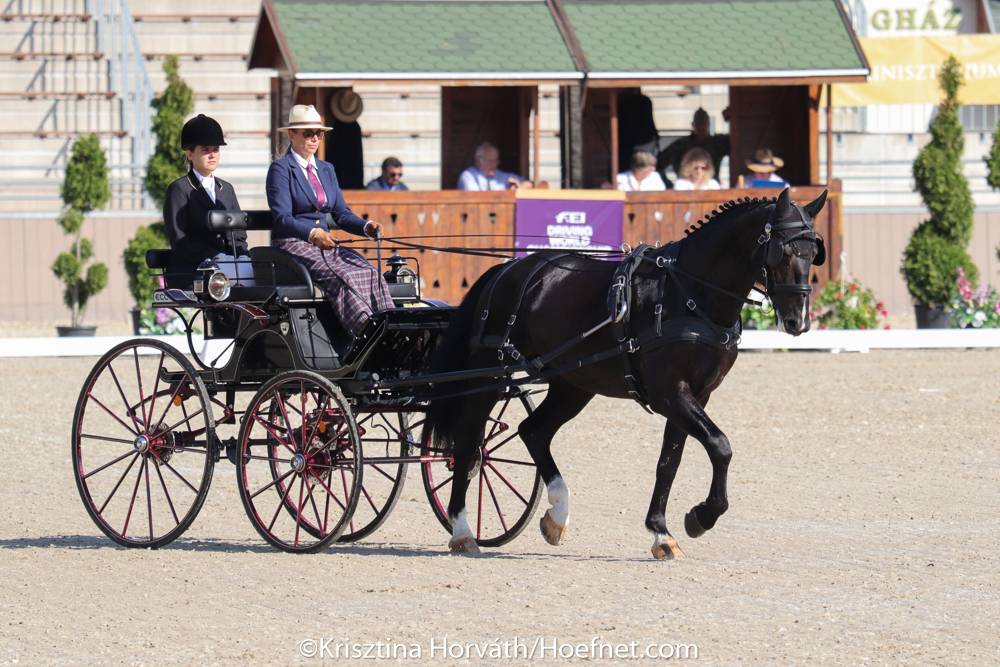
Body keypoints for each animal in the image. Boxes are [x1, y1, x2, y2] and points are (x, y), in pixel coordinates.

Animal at [426, 188, 824, 560]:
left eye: (813, 251)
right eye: (782, 251)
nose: (797, 321)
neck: (689, 294)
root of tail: (506, 270)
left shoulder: (694, 395)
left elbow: (669, 462)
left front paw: (662, 533)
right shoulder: (670, 394)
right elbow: (720, 446)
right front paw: (702, 516)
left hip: (573, 385)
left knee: (533, 431)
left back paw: (557, 514)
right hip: (489, 376)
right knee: (469, 443)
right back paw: (462, 531)